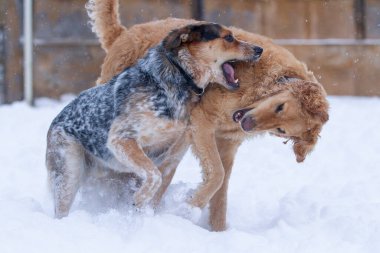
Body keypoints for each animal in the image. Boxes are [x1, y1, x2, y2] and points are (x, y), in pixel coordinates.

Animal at [46, 23, 262, 217]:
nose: (260, 49)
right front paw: (139, 199)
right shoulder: (121, 139)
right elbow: (153, 176)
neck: (180, 77)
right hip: (68, 172)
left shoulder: (172, 153)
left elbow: (159, 181)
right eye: (229, 37)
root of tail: (56, 121)